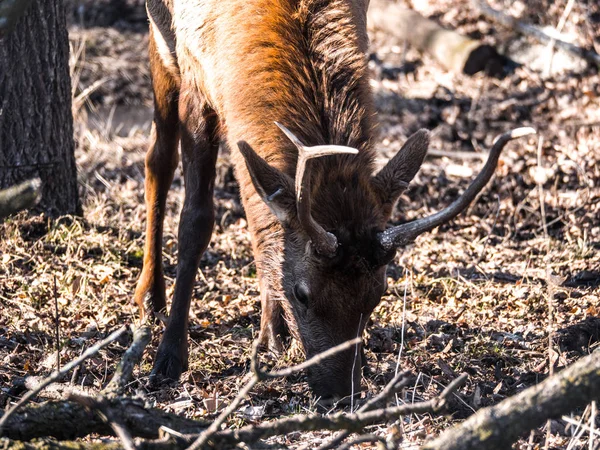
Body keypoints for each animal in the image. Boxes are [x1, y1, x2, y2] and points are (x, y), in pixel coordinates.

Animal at [136, 0, 536, 400]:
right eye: (302, 294)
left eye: (377, 294)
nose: (343, 391)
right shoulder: (193, 77)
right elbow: (195, 222)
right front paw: (169, 356)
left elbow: (262, 218)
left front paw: (272, 334)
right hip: (161, 42)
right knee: (158, 157)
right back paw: (150, 295)